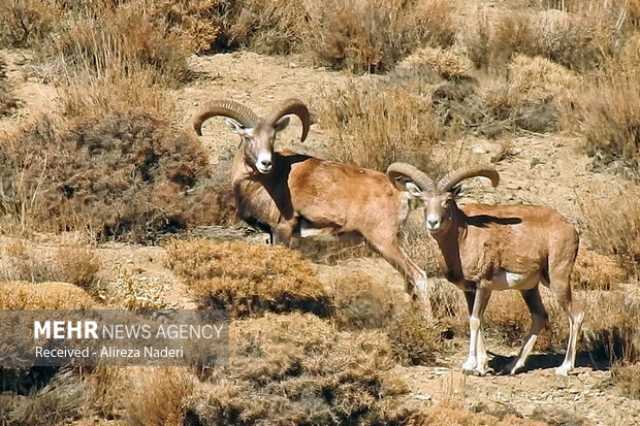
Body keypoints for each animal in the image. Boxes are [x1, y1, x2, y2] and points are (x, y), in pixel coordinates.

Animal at [190, 98, 430, 314]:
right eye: (248, 136)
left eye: (273, 137)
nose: (265, 163)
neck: (264, 183)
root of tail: (403, 194)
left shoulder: (283, 230)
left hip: (384, 242)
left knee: (419, 277)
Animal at [384, 164, 584, 376]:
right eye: (424, 200)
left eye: (447, 201)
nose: (432, 223)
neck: (463, 237)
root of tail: (570, 228)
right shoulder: (470, 290)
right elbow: (475, 319)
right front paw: (482, 365)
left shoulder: (484, 285)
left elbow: (474, 321)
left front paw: (471, 365)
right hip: (529, 288)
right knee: (539, 316)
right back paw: (512, 366)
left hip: (558, 279)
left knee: (576, 315)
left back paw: (564, 367)